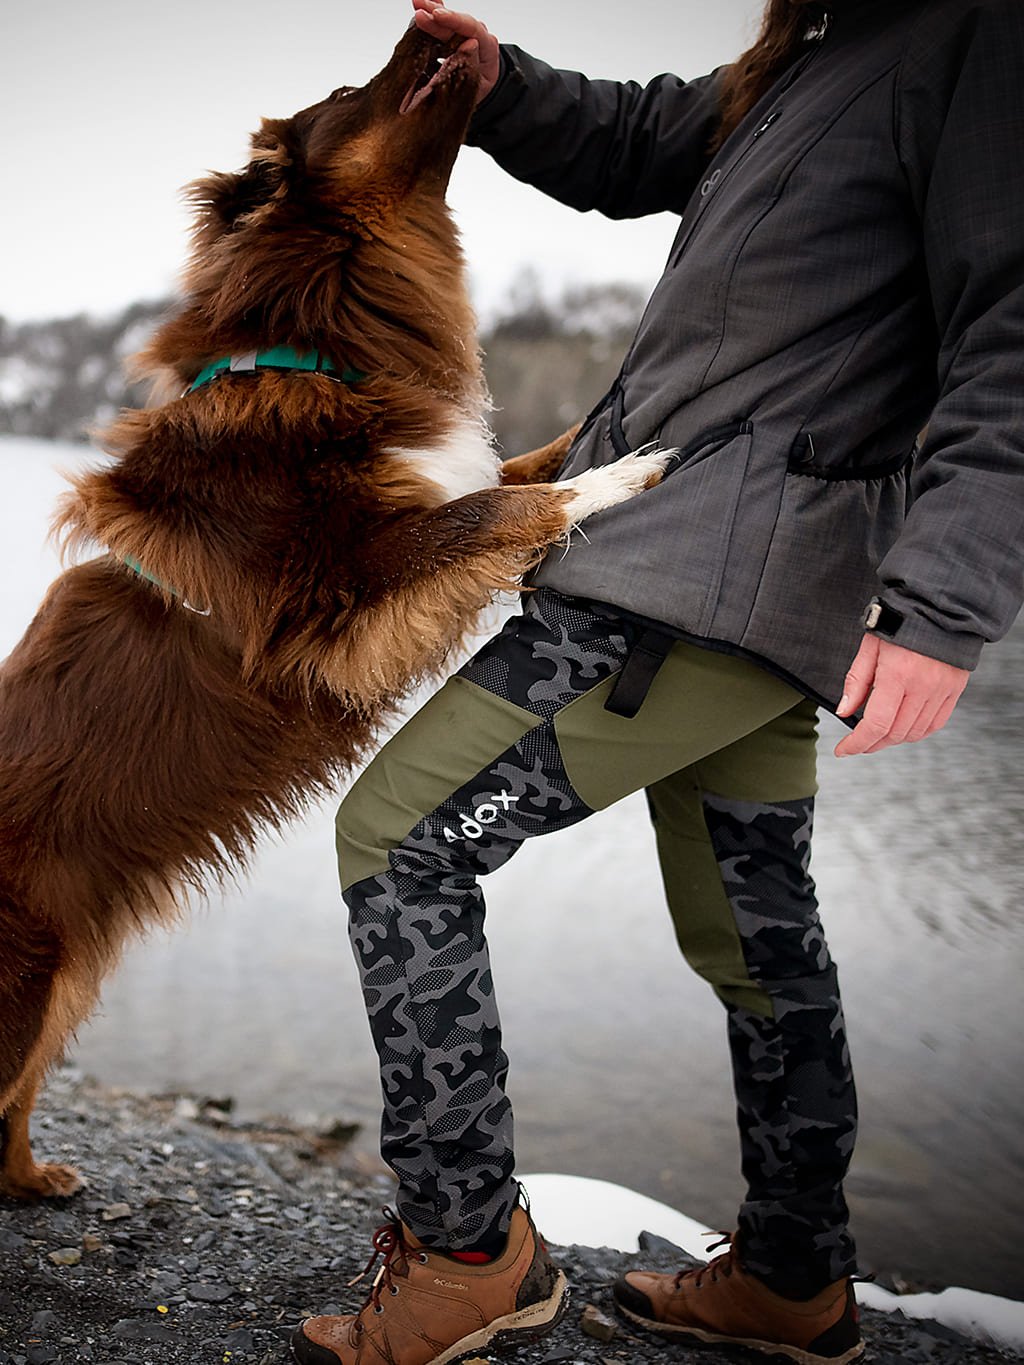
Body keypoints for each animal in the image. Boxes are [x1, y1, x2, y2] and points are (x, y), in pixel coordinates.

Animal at [0, 26, 666, 1201]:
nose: (438, 25)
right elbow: (506, 503)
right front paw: (625, 475)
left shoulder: (420, 507)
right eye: (353, 87)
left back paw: (33, 1179)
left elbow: (518, 466)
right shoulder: (331, 606)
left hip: (66, 973)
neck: (314, 345)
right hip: (25, 976)